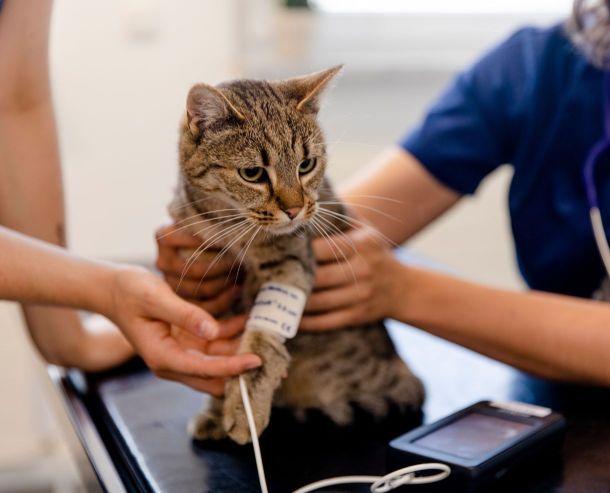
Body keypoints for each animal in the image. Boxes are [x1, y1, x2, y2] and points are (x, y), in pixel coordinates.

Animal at [169, 63, 420, 444]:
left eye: (306, 165)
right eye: (252, 173)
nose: (295, 210)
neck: (227, 222)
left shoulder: (290, 262)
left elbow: (261, 346)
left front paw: (246, 405)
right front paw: (217, 409)